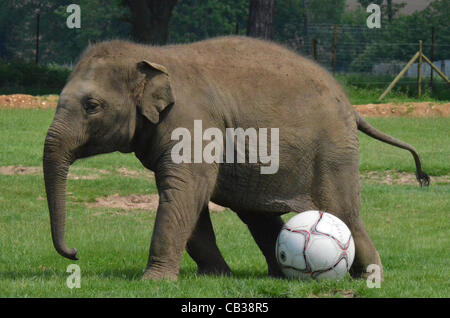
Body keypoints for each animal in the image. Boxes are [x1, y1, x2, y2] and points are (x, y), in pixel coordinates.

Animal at [43, 36, 428, 280]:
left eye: (92, 106)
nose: (75, 253)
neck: (151, 55)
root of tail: (352, 107)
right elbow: (188, 199)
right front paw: (215, 277)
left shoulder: (192, 123)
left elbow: (184, 191)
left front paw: (152, 282)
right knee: (259, 216)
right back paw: (281, 276)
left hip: (333, 153)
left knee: (343, 214)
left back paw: (369, 279)